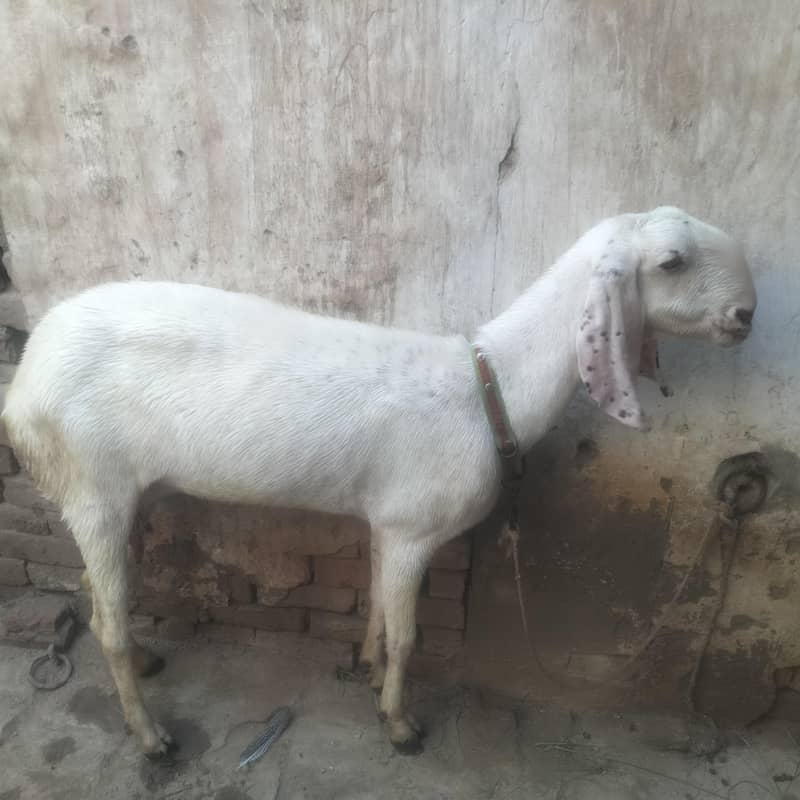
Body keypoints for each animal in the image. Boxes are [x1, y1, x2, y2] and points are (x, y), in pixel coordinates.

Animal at [2, 207, 756, 757]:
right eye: (672, 261)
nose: (746, 316)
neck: (491, 386)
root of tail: (24, 380)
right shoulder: (415, 526)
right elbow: (408, 637)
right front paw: (399, 724)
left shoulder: (385, 523)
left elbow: (375, 607)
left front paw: (363, 668)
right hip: (92, 483)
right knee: (106, 622)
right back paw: (151, 735)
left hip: (128, 492)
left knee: (97, 594)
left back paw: (148, 663)